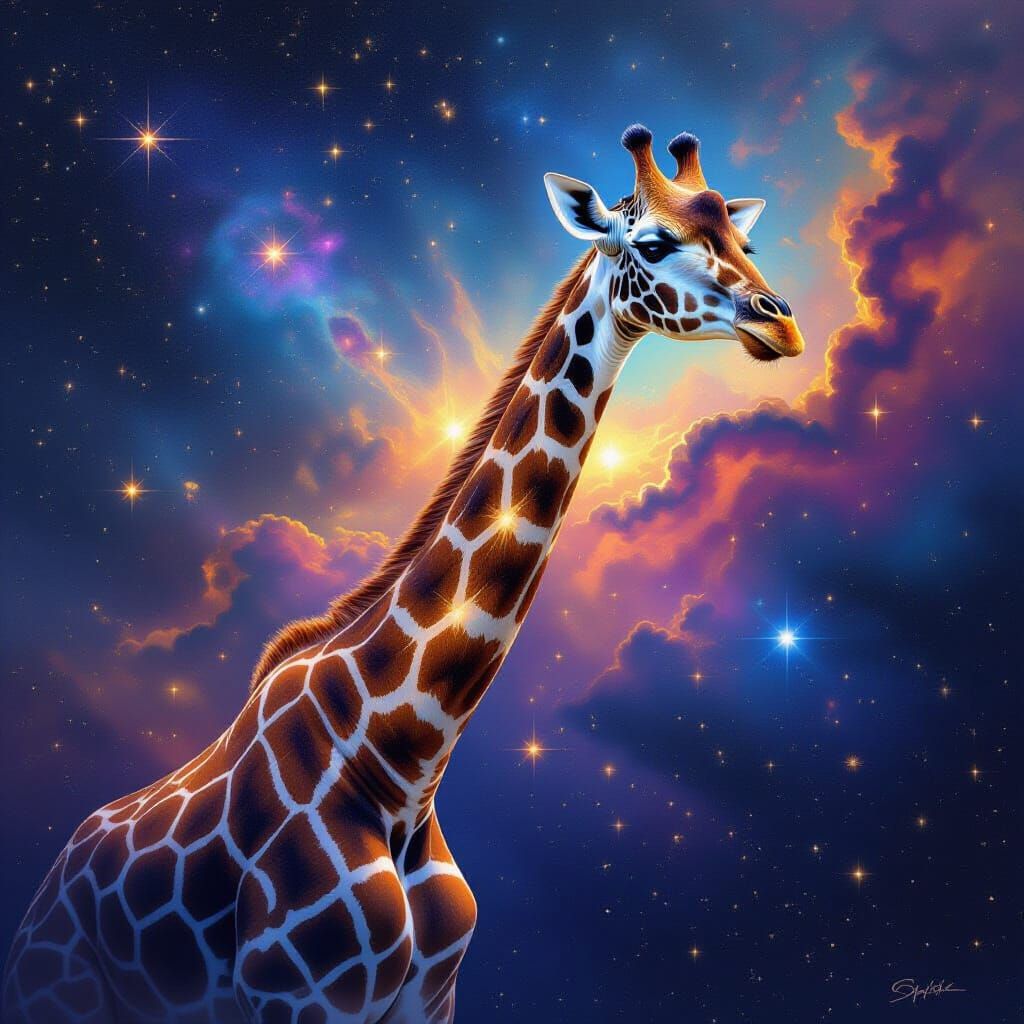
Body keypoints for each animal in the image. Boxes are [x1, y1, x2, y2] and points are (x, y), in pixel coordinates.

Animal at [3, 125, 803, 1024]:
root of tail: (50, 878)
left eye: (744, 243)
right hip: (56, 989)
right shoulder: (301, 995)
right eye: (654, 242)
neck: (404, 765)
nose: (782, 326)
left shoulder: (429, 997)